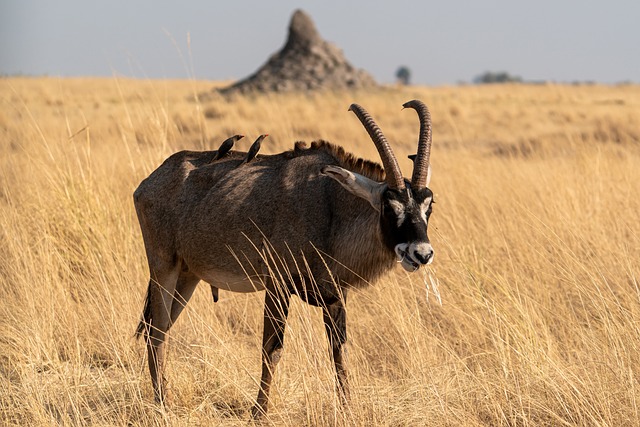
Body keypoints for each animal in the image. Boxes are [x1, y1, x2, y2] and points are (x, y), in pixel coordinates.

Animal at [134, 99, 436, 418]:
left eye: (429, 205)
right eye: (389, 205)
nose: (421, 253)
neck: (330, 206)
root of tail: (149, 182)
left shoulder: (335, 297)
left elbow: (338, 352)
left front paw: (347, 409)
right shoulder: (277, 286)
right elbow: (272, 349)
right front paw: (259, 412)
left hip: (187, 276)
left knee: (160, 329)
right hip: (163, 268)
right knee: (156, 332)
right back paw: (162, 403)